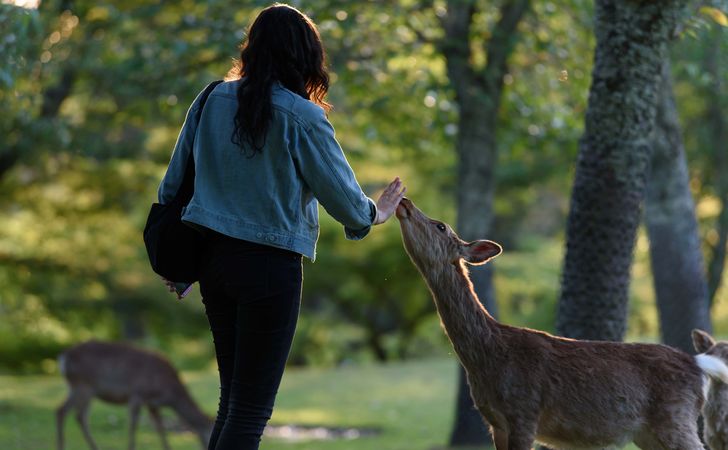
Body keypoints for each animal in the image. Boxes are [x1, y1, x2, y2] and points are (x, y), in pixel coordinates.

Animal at [57, 342, 212, 450]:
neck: (169, 394)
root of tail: (63, 357)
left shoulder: (152, 404)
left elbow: (160, 427)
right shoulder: (137, 394)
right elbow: (133, 425)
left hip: (76, 387)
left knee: (62, 411)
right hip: (83, 386)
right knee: (78, 416)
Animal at [396, 199, 724, 450]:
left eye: (440, 226)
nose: (405, 202)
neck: (488, 356)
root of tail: (698, 365)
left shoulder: (524, 411)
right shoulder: (495, 422)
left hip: (674, 416)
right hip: (651, 432)